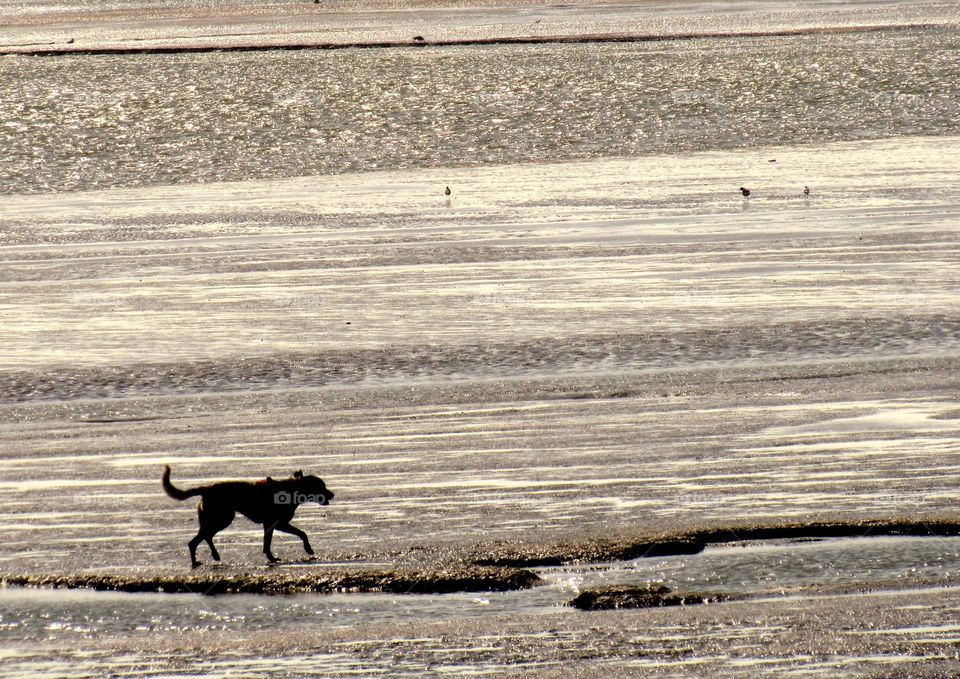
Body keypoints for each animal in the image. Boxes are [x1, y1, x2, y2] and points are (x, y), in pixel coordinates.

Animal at [161, 468, 334, 568]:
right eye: (321, 486)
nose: (333, 494)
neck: (292, 490)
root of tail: (206, 489)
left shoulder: (269, 525)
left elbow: (267, 544)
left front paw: (271, 557)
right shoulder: (278, 523)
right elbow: (302, 533)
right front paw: (308, 549)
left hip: (217, 519)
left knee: (205, 537)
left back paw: (213, 555)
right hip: (221, 518)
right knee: (197, 540)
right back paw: (196, 561)